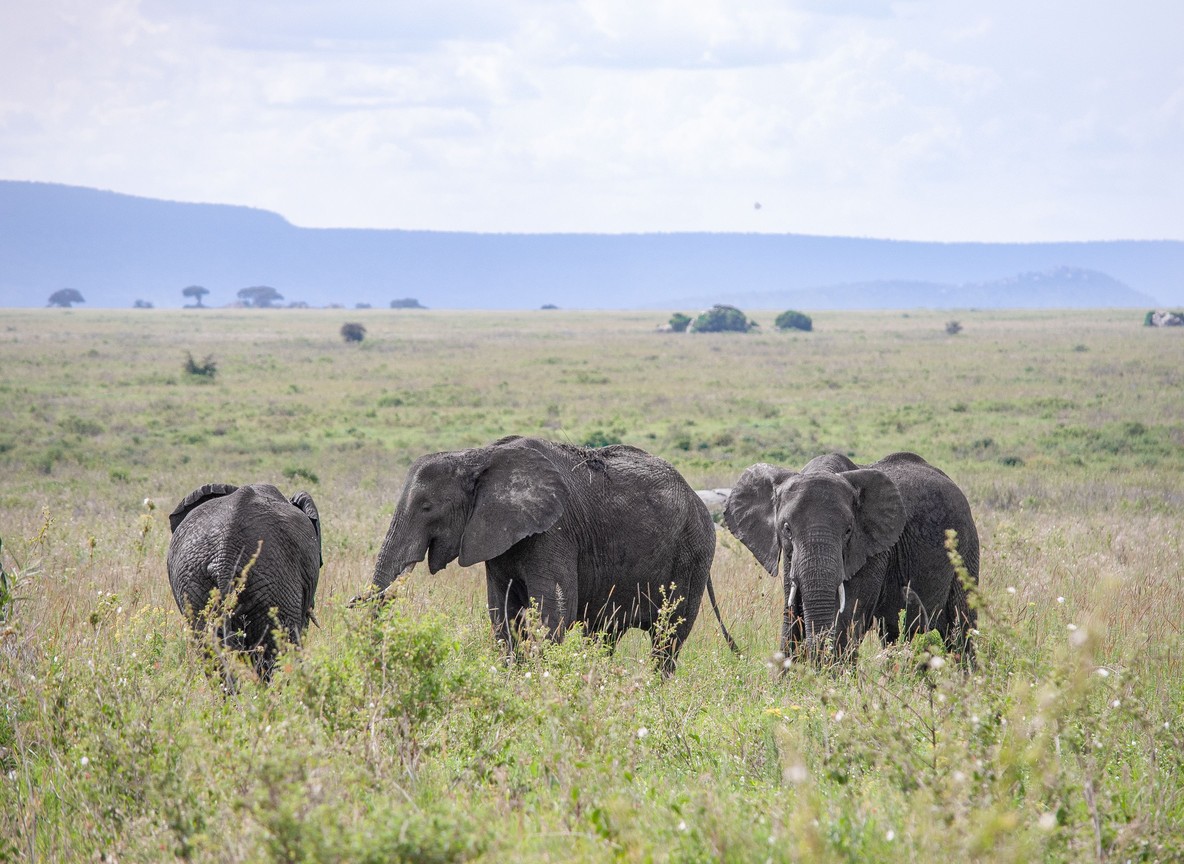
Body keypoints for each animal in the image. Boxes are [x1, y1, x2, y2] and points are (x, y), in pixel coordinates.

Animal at [362, 435, 737, 675]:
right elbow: (503, 612)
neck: (477, 457)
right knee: (605, 634)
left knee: (668, 637)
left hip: (693, 553)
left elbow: (554, 612)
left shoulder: (554, 532)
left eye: (427, 507)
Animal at [724, 452, 978, 663]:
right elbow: (791, 613)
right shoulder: (789, 557)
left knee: (961, 625)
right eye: (786, 529)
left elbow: (848, 615)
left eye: (848, 531)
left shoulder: (873, 550)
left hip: (966, 547)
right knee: (893, 633)